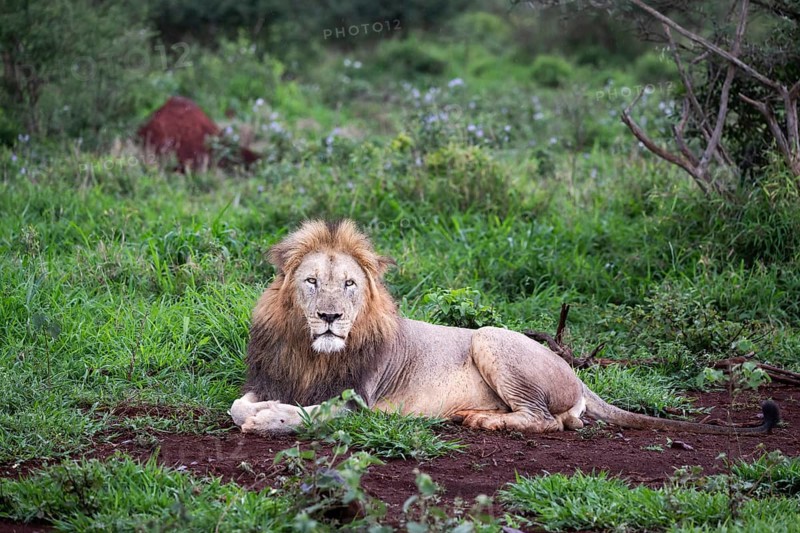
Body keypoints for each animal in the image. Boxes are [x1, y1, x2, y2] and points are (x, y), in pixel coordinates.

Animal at [230, 219, 779, 436]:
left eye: (348, 284)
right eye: (311, 282)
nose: (330, 317)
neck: (312, 352)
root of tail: (580, 377)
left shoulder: (359, 401)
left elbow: (312, 413)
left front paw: (271, 419)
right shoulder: (271, 377)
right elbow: (239, 404)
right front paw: (258, 411)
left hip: (491, 336)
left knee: (550, 421)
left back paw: (483, 421)